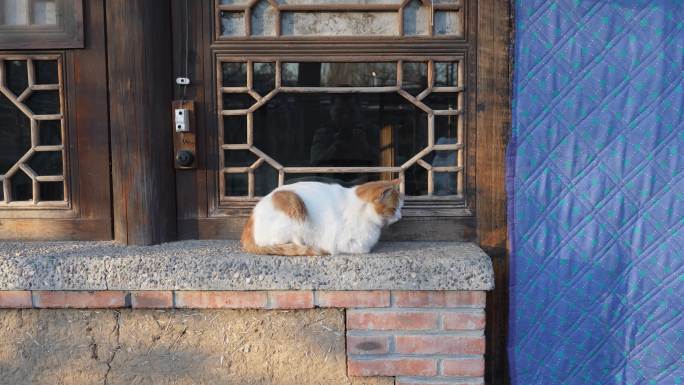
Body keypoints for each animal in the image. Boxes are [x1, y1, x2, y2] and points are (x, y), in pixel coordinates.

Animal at [242, 179, 404, 255]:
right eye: (394, 209)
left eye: (400, 207)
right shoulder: (345, 243)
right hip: (296, 211)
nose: (400, 216)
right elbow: (363, 248)